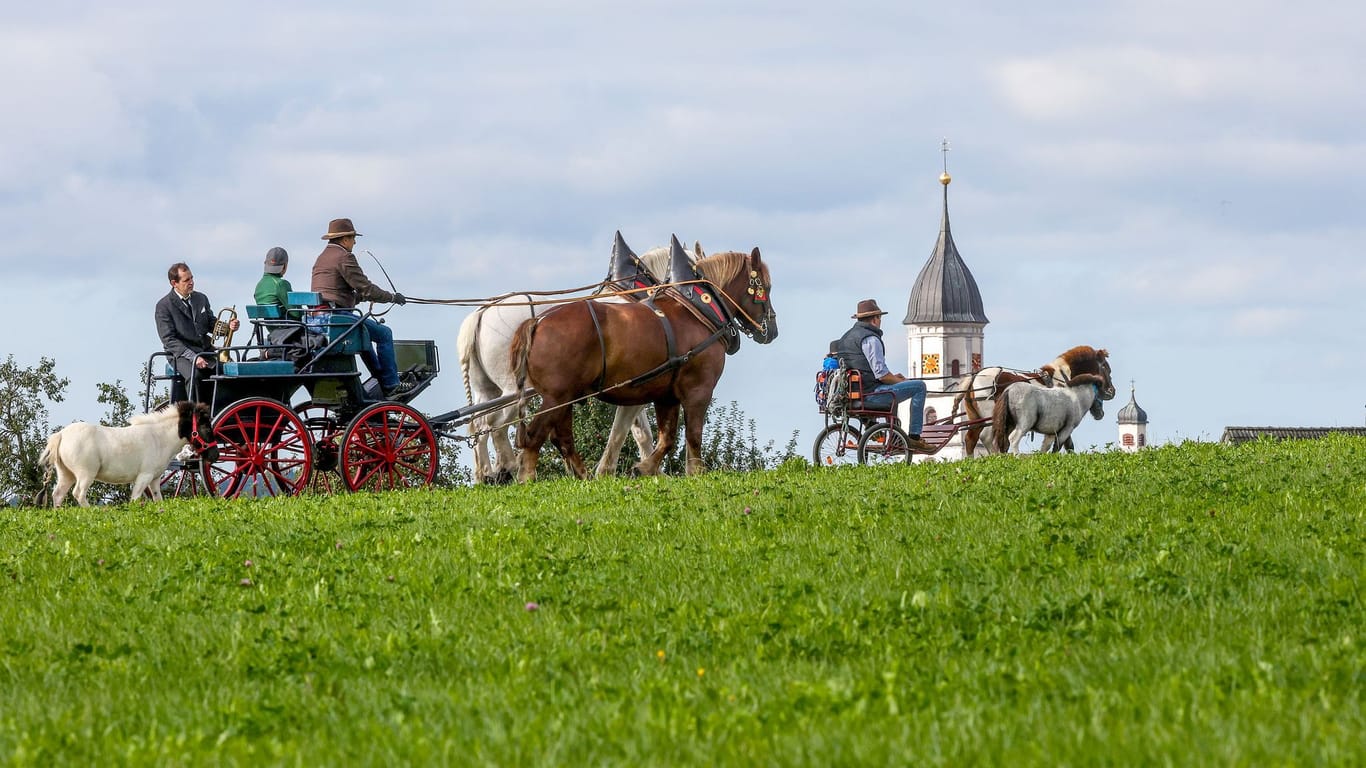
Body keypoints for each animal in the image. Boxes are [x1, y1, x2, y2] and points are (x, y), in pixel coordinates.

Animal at [39, 396, 217, 505]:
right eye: (207, 427)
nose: (215, 455)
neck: (159, 437)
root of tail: (61, 434)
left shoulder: (154, 479)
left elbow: (158, 499)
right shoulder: (144, 476)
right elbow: (135, 499)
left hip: (66, 474)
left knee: (58, 495)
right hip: (85, 474)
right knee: (79, 494)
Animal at [456, 239, 699, 481]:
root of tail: (481, 313)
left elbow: (639, 431)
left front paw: (649, 469)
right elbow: (636, 431)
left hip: (487, 389)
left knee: (479, 425)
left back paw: (486, 474)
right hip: (512, 388)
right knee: (495, 424)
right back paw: (509, 466)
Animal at [510, 240, 775, 478]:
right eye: (767, 286)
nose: (772, 330)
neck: (697, 311)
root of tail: (537, 322)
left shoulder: (665, 394)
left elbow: (666, 438)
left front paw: (644, 468)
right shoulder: (698, 390)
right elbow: (692, 436)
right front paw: (695, 472)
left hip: (565, 397)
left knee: (560, 437)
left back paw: (581, 475)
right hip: (555, 397)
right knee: (534, 436)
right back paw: (526, 478)